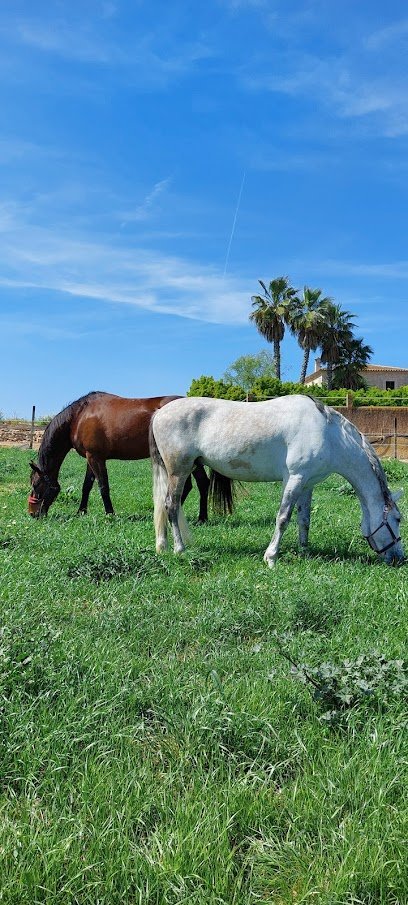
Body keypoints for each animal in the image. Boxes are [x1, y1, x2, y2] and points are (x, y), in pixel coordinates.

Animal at [27, 390, 210, 524]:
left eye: (36, 485)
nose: (32, 514)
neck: (79, 417)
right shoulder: (91, 458)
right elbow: (87, 486)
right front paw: (81, 511)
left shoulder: (96, 458)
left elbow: (103, 486)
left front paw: (109, 514)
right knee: (194, 484)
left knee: (198, 484)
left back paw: (197, 518)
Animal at [150, 396, 404, 564]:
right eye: (398, 519)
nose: (398, 558)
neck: (329, 434)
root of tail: (159, 413)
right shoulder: (294, 478)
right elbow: (283, 518)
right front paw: (271, 557)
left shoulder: (307, 483)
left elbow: (304, 519)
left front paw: (304, 551)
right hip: (179, 471)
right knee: (171, 506)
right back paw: (179, 549)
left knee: (164, 506)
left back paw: (162, 546)